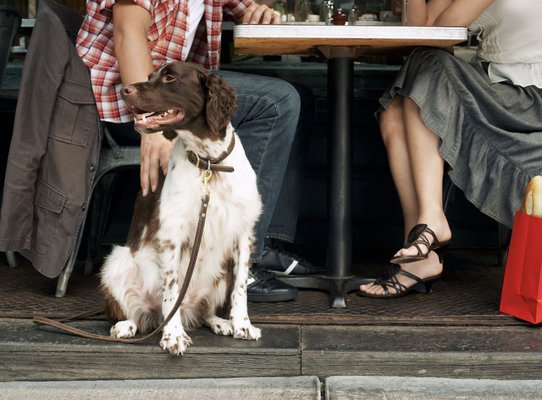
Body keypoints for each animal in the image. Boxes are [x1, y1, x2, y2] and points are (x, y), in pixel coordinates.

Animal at [102, 61, 266, 354]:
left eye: (169, 77)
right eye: (150, 76)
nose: (124, 90)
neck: (210, 163)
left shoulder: (243, 232)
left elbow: (240, 287)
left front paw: (242, 325)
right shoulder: (172, 234)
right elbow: (171, 289)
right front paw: (174, 335)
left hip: (220, 274)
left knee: (204, 312)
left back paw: (220, 322)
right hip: (117, 261)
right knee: (132, 313)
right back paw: (125, 326)